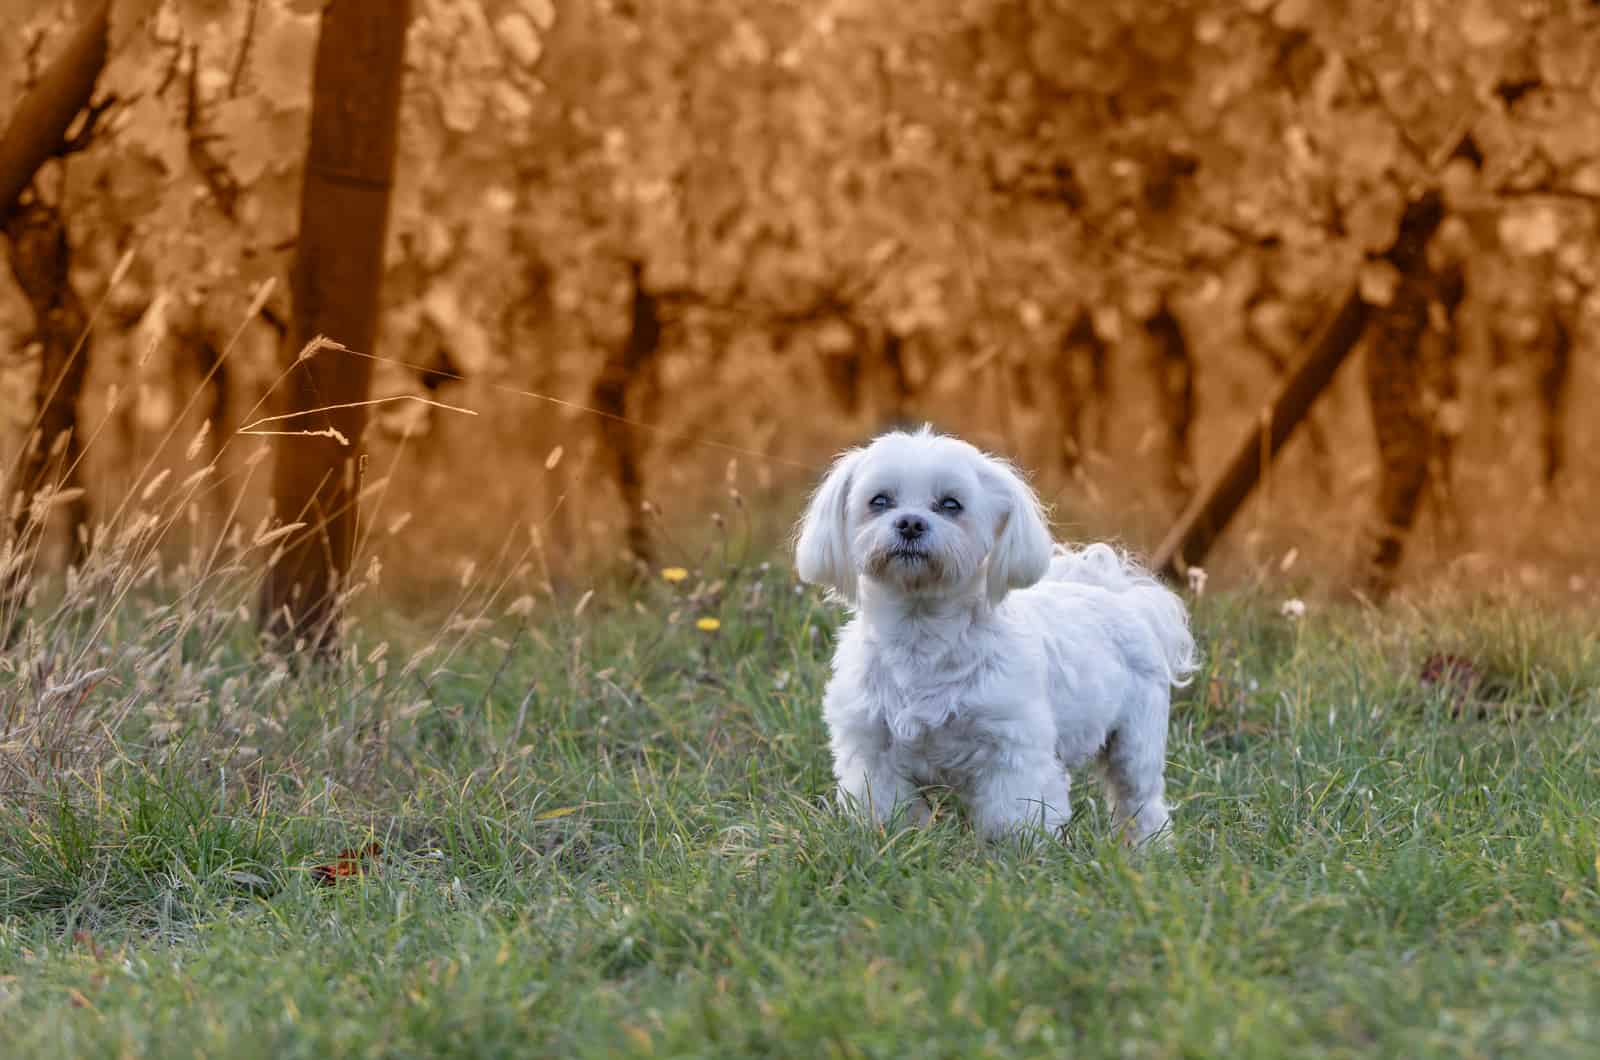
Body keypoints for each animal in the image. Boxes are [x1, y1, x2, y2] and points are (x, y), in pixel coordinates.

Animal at [793, 429, 1196, 851]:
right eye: (880, 501)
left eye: (951, 504)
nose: (910, 523)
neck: (921, 634)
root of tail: (1121, 594)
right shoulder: (872, 750)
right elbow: (887, 811)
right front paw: (892, 844)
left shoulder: (1012, 750)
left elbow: (1013, 818)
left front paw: (1015, 857)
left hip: (1136, 739)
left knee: (1140, 800)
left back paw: (1148, 849)